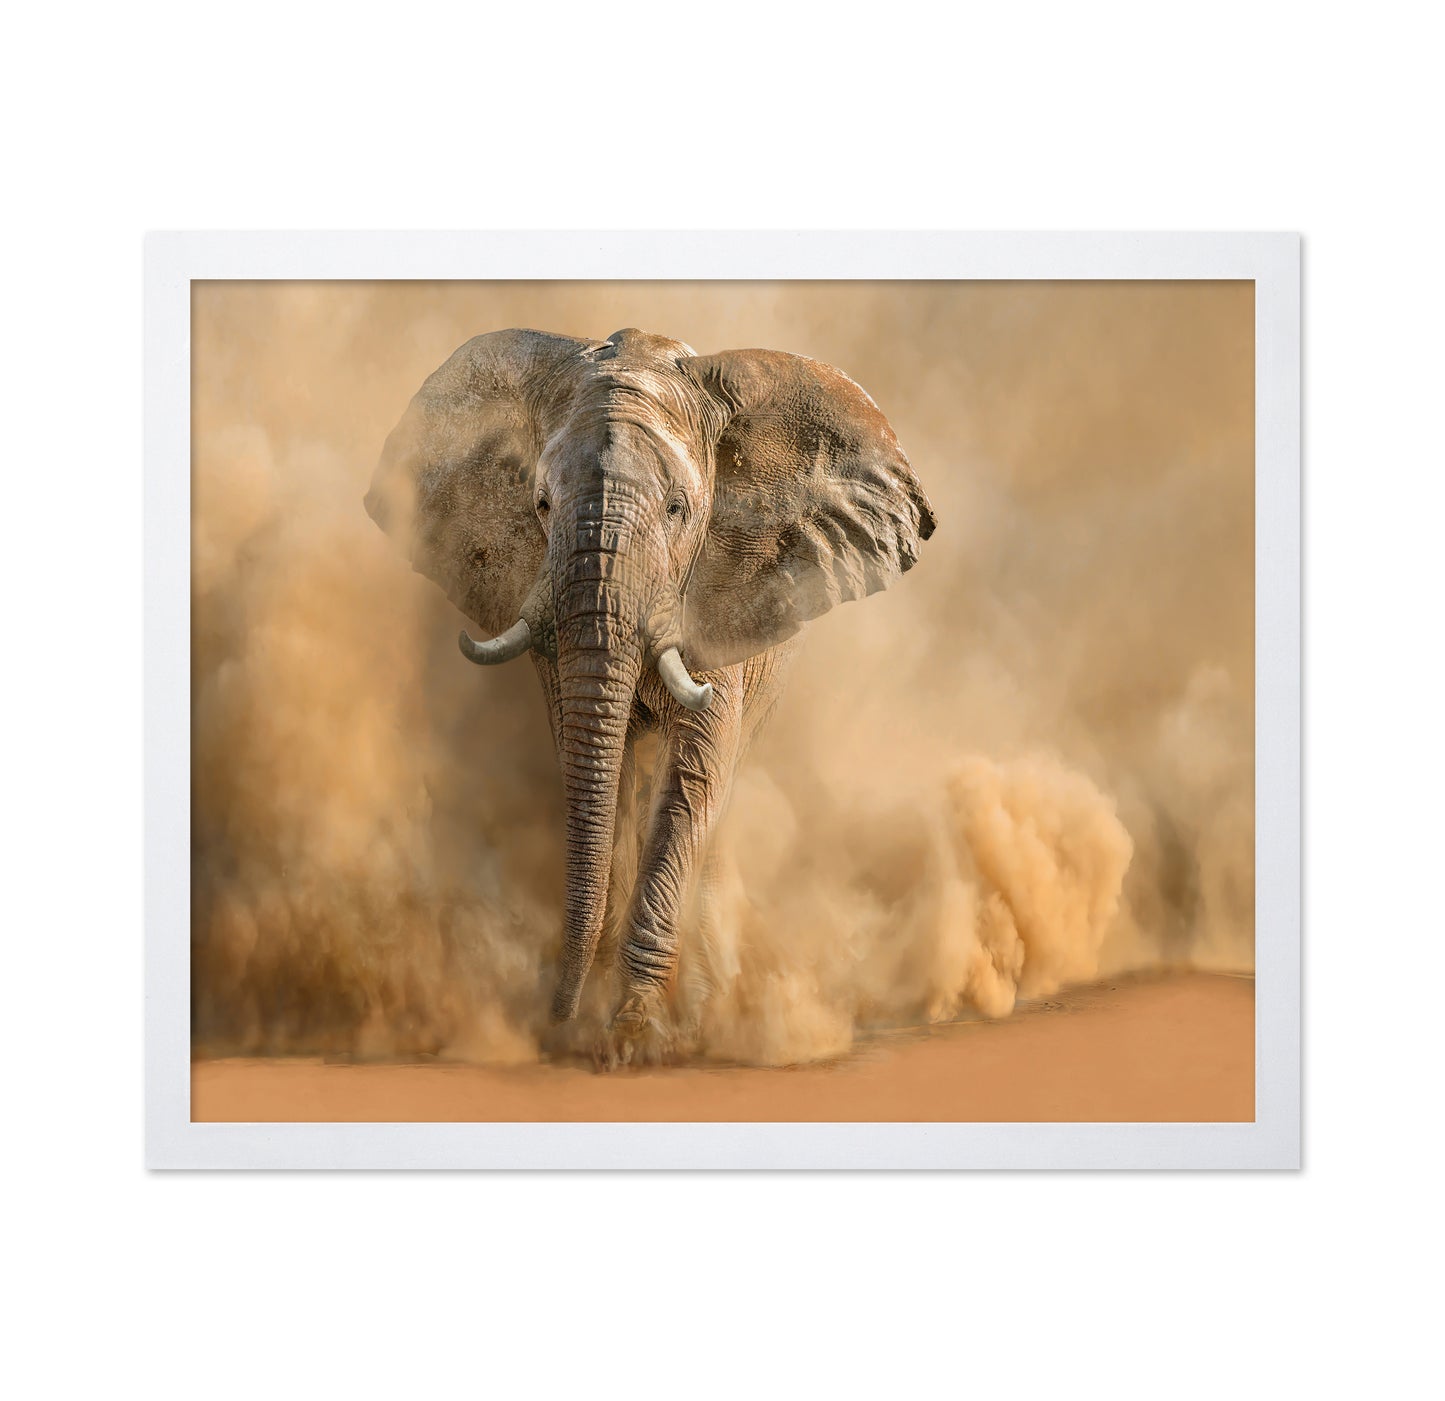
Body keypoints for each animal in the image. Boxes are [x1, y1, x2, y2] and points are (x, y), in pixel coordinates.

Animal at [365, 327, 936, 1065]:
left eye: (677, 510)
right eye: (540, 504)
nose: (551, 1021)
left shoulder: (716, 593)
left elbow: (691, 781)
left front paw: (632, 1037)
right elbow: (597, 770)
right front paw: (597, 1024)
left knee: (718, 793)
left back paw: (705, 1006)